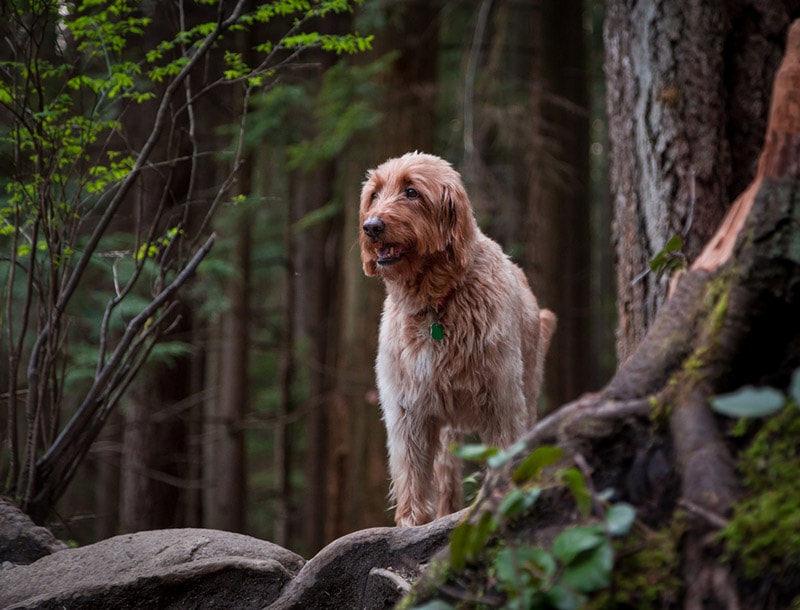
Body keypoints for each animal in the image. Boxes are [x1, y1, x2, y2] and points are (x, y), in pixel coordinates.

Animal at [360, 151, 552, 524]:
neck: (435, 304)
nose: (371, 226)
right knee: (445, 479)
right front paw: (410, 523)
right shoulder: (407, 408)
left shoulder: (503, 400)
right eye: (374, 194)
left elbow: (505, 455)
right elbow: (411, 473)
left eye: (411, 192)